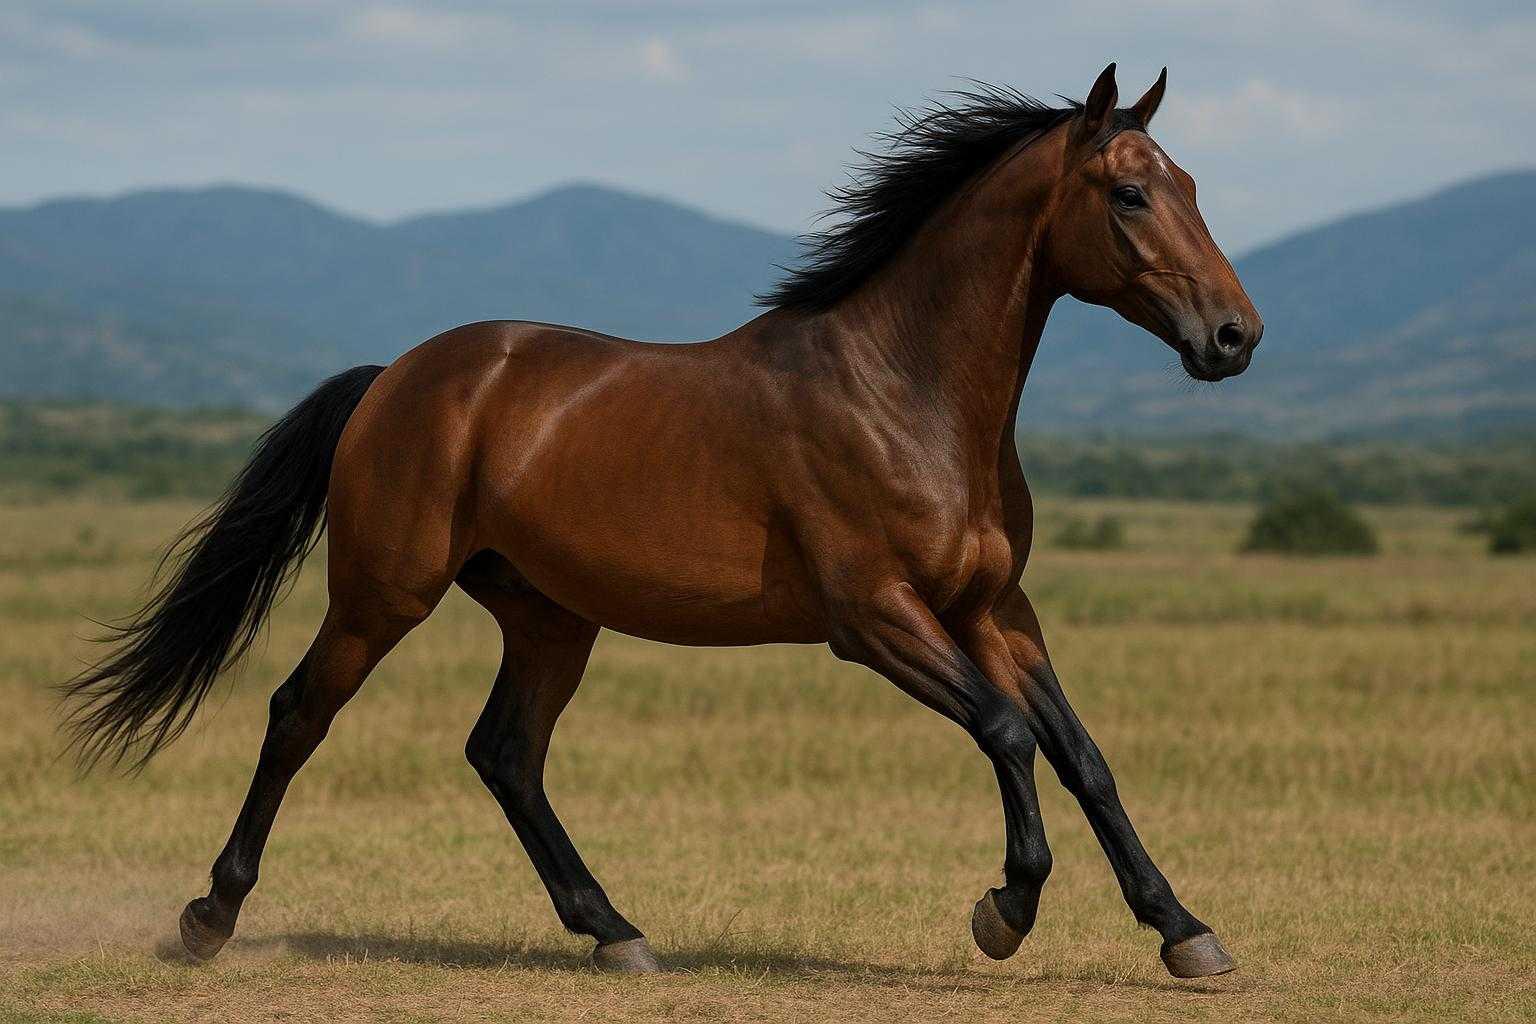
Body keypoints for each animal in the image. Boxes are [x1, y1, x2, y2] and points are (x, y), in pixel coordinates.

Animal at [63, 63, 1262, 978]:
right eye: (1129, 195)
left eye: (1195, 184)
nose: (1235, 336)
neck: (905, 392)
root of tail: (395, 379)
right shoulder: (875, 617)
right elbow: (1009, 733)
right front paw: (1002, 913)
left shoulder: (994, 609)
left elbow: (1083, 756)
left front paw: (1186, 932)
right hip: (381, 595)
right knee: (298, 714)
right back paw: (208, 918)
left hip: (549, 616)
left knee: (505, 754)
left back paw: (616, 933)